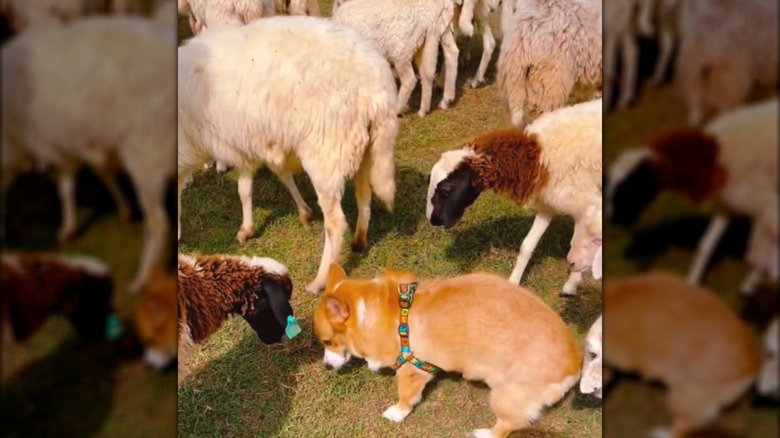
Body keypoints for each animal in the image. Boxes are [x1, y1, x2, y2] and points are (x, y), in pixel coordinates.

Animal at [1, 14, 177, 294]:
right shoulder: (79, 142)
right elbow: (90, 177)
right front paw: (122, 210)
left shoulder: (57, 145)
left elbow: (67, 185)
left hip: (146, 150)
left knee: (158, 223)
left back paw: (142, 279)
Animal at [177, 16, 398, 294]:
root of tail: (377, 86)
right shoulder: (253, 142)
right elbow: (251, 187)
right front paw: (255, 226)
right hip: (364, 147)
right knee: (364, 195)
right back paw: (359, 240)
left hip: (326, 151)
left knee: (336, 223)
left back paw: (320, 280)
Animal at [426, 98, 602, 295]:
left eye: (446, 191)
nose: (433, 220)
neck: (537, 158)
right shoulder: (548, 205)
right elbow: (527, 246)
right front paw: (513, 283)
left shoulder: (588, 208)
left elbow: (580, 246)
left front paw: (571, 286)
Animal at [606, 97, 778, 296]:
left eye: (630, 186)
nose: (611, 218)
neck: (714, 161)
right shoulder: (728, 205)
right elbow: (706, 246)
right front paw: (692, 284)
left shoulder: (767, 206)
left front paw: (750, 286)